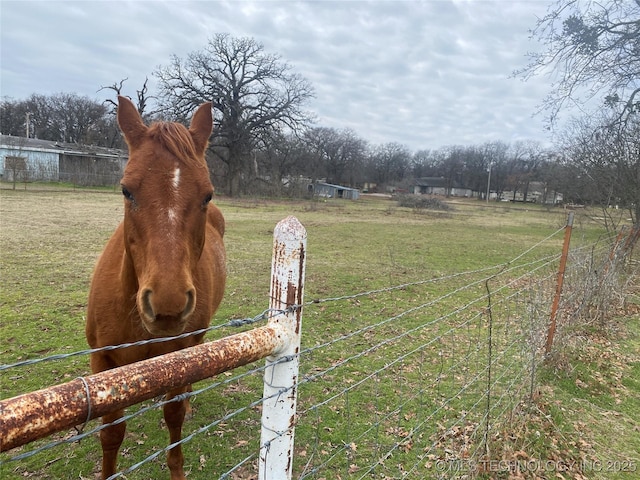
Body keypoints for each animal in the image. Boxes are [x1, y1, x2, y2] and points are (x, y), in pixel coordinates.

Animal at [85, 95, 225, 478]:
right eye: (126, 190)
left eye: (207, 195)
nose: (167, 304)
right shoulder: (102, 362)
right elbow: (111, 433)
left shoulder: (179, 358)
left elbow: (173, 419)